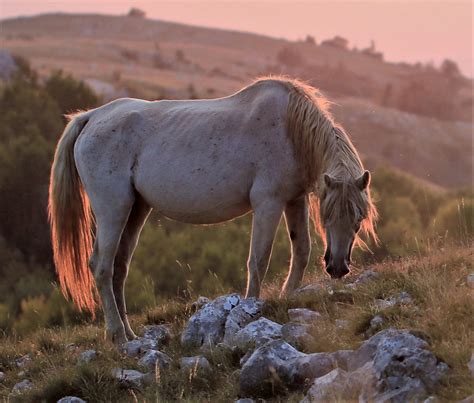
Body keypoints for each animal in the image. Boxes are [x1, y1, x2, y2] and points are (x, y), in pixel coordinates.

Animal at [48, 77, 378, 346]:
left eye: (358, 219)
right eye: (328, 216)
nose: (338, 267)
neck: (290, 129)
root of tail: (92, 116)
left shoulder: (294, 201)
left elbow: (301, 253)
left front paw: (288, 299)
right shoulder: (268, 203)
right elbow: (258, 261)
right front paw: (251, 311)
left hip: (135, 210)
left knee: (119, 267)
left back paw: (129, 334)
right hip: (113, 209)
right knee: (101, 266)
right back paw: (116, 335)